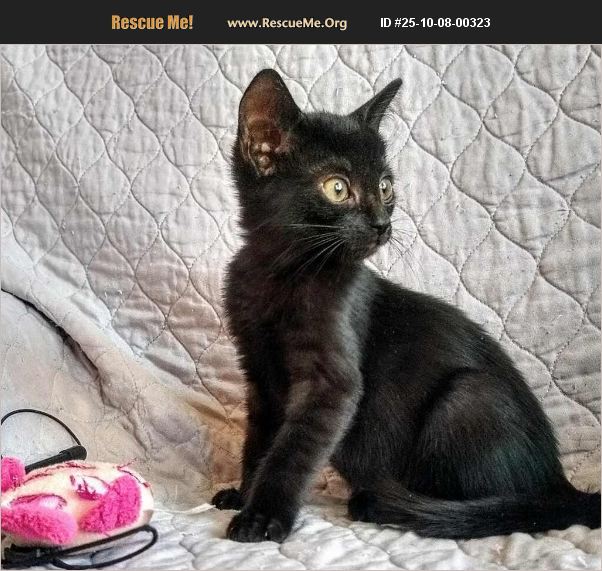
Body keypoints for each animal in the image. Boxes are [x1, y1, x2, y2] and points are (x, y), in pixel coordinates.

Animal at [211, 69, 601, 543]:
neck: (279, 274)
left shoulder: (331, 383)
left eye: (385, 186)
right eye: (337, 188)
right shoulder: (260, 374)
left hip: (468, 396)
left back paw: (385, 503)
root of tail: (560, 485)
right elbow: (259, 441)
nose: (383, 223)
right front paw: (243, 494)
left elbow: (292, 452)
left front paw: (264, 517)